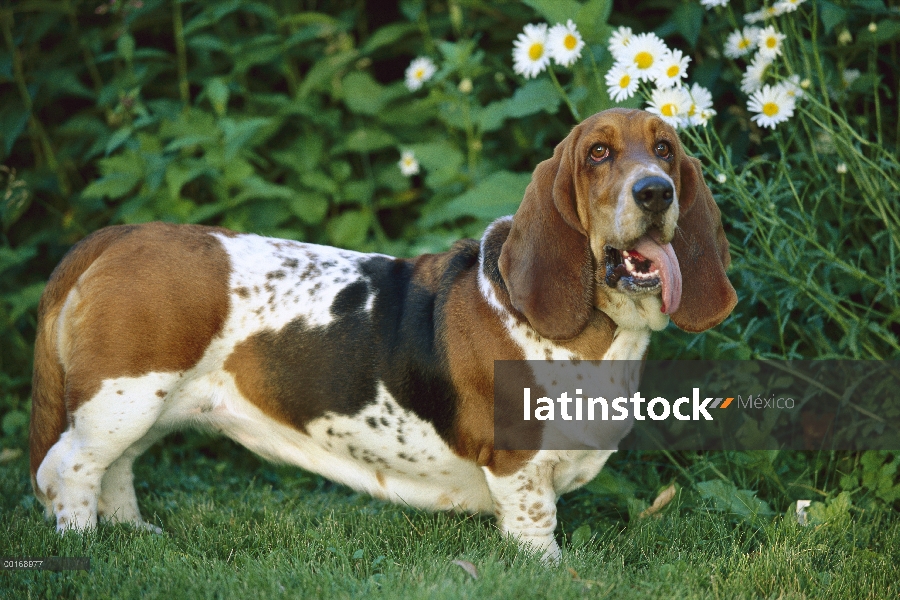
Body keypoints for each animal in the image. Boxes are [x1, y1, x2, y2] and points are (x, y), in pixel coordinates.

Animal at [29, 108, 740, 564]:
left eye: (666, 150)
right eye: (598, 154)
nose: (656, 191)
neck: (599, 336)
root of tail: (118, 235)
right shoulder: (519, 469)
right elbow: (537, 535)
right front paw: (555, 577)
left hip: (140, 405)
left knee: (113, 468)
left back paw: (134, 538)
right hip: (123, 398)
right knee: (68, 467)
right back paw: (85, 551)